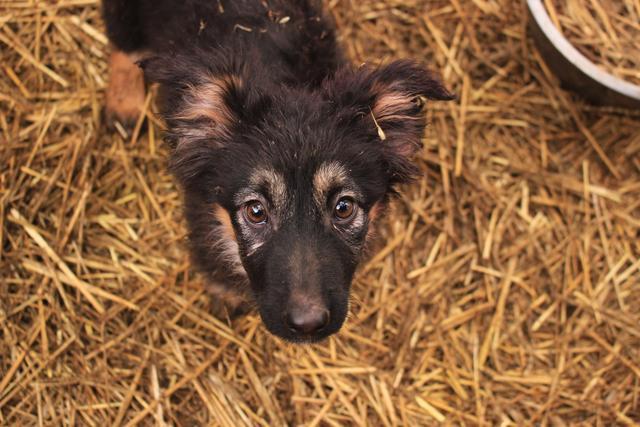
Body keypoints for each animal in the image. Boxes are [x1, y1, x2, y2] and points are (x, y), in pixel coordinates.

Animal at [102, 0, 452, 342]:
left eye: (344, 208)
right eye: (255, 211)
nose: (308, 325)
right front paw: (225, 293)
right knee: (123, 41)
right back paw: (124, 103)